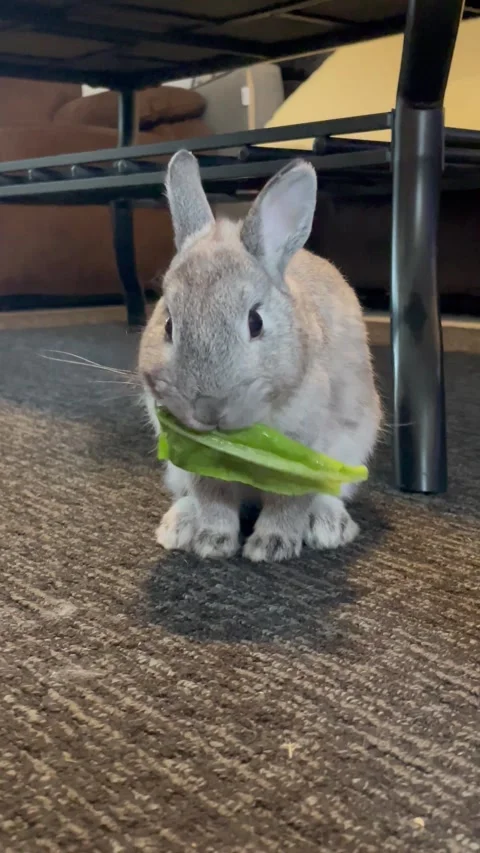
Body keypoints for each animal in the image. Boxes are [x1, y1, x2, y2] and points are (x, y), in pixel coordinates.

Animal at [138, 149, 381, 563]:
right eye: (169, 324)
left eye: (255, 322)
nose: (208, 409)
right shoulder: (198, 457)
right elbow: (212, 496)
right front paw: (212, 542)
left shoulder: (303, 453)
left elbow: (290, 502)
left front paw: (272, 546)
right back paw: (178, 526)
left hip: (352, 450)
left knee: (331, 492)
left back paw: (328, 527)